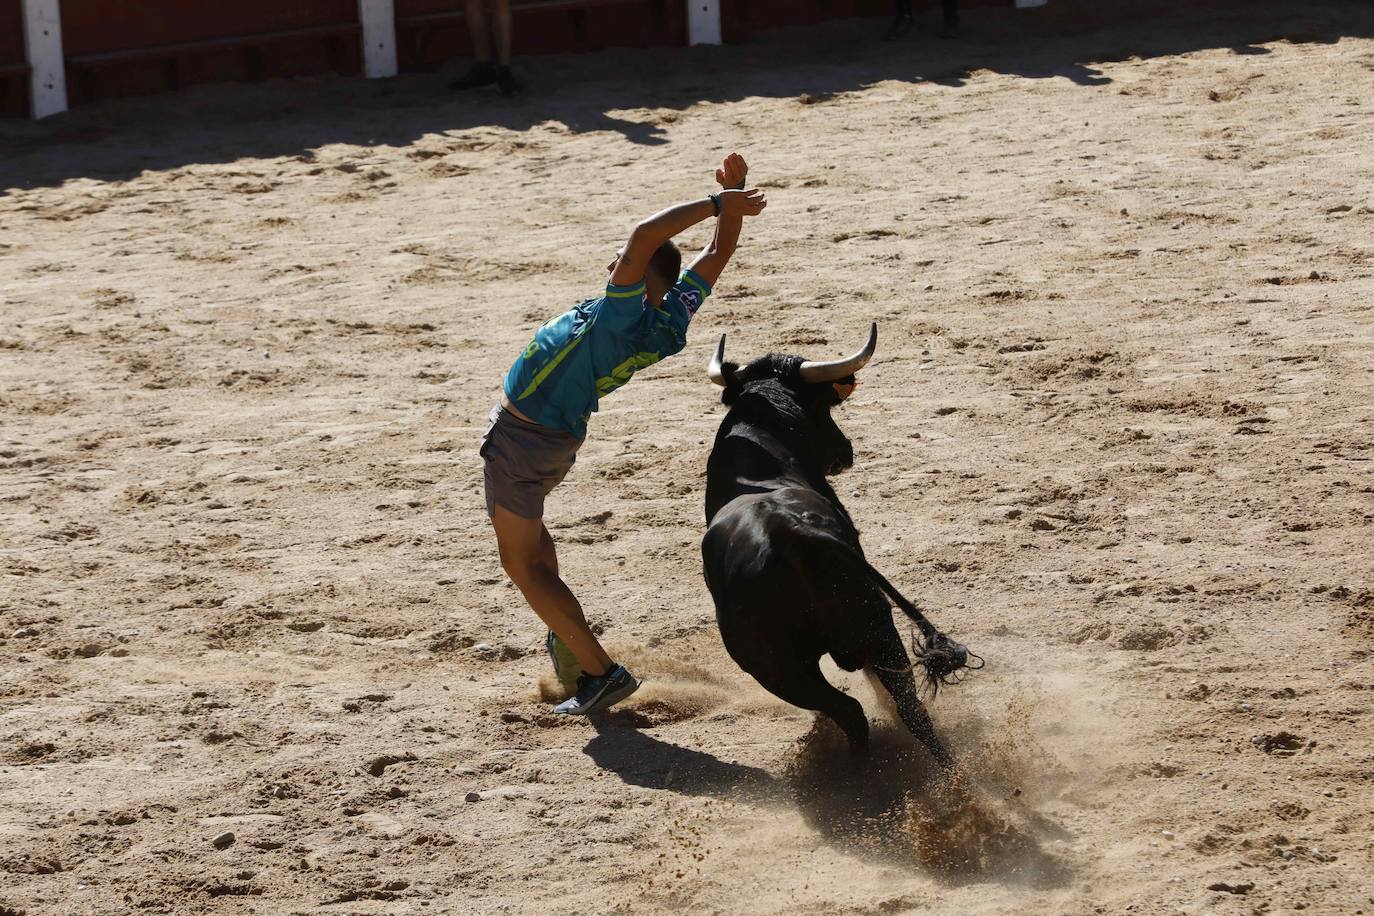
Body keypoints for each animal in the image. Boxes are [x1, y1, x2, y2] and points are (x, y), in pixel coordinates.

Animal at [703, 325, 972, 763]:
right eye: (825, 408)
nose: (845, 451)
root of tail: (789, 534)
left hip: (785, 666)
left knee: (857, 711)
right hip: (863, 634)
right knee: (899, 708)